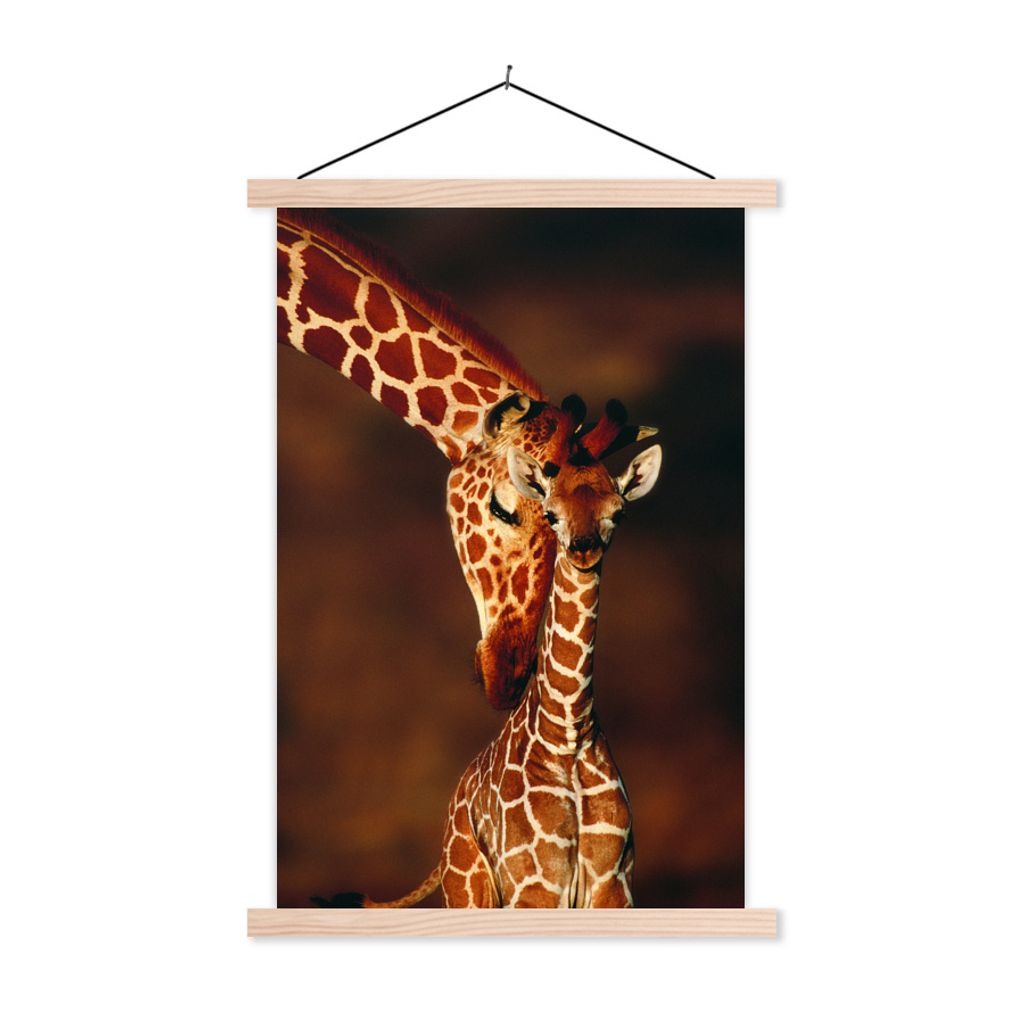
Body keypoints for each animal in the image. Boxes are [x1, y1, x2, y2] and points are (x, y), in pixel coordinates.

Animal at [318, 435, 663, 908]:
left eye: (618, 512)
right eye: (551, 513)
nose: (584, 548)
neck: (569, 730)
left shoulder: (614, 884)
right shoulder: (535, 885)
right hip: (468, 887)